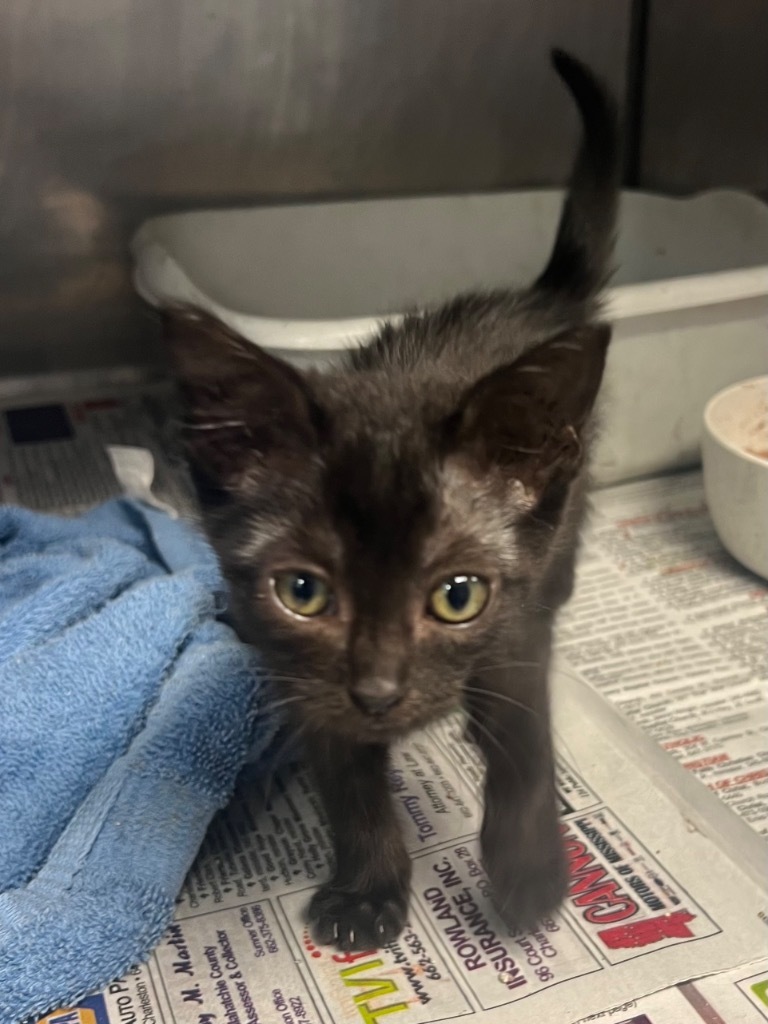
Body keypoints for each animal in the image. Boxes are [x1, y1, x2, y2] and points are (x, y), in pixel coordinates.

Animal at [165, 51, 622, 950]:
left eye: (457, 596)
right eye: (303, 591)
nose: (377, 693)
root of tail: (535, 299)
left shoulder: (516, 633)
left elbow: (525, 748)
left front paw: (529, 876)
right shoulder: (312, 691)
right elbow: (351, 791)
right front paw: (369, 891)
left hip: (565, 524)